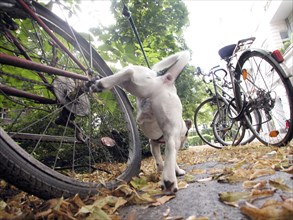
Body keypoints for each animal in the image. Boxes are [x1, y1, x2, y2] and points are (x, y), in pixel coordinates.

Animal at [90, 51, 189, 192]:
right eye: (186, 135)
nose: (184, 145)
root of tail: (166, 80)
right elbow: (172, 157)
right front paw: (178, 171)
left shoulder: (153, 143)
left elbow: (159, 158)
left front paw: (161, 167)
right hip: (168, 121)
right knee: (170, 146)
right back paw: (169, 180)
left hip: (137, 87)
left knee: (127, 74)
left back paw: (101, 83)